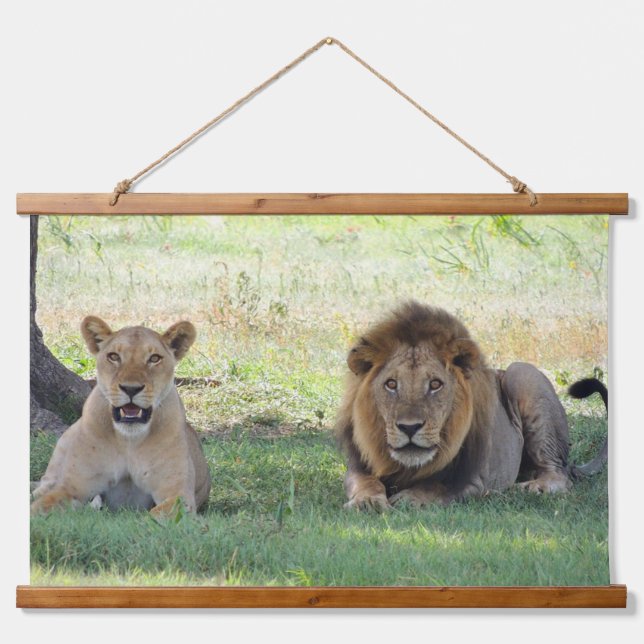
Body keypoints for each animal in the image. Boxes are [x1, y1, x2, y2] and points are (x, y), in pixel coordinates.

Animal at [31, 316, 211, 517]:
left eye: (154, 358)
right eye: (114, 356)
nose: (131, 389)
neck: (128, 440)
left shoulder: (178, 496)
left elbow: (154, 516)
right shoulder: (72, 488)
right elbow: (39, 508)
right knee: (43, 486)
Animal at [334, 301, 607, 510]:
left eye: (435, 384)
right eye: (391, 384)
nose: (409, 428)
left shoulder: (474, 479)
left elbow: (438, 487)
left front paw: (410, 498)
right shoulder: (358, 467)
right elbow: (366, 483)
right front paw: (367, 501)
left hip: (523, 374)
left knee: (559, 475)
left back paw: (530, 488)